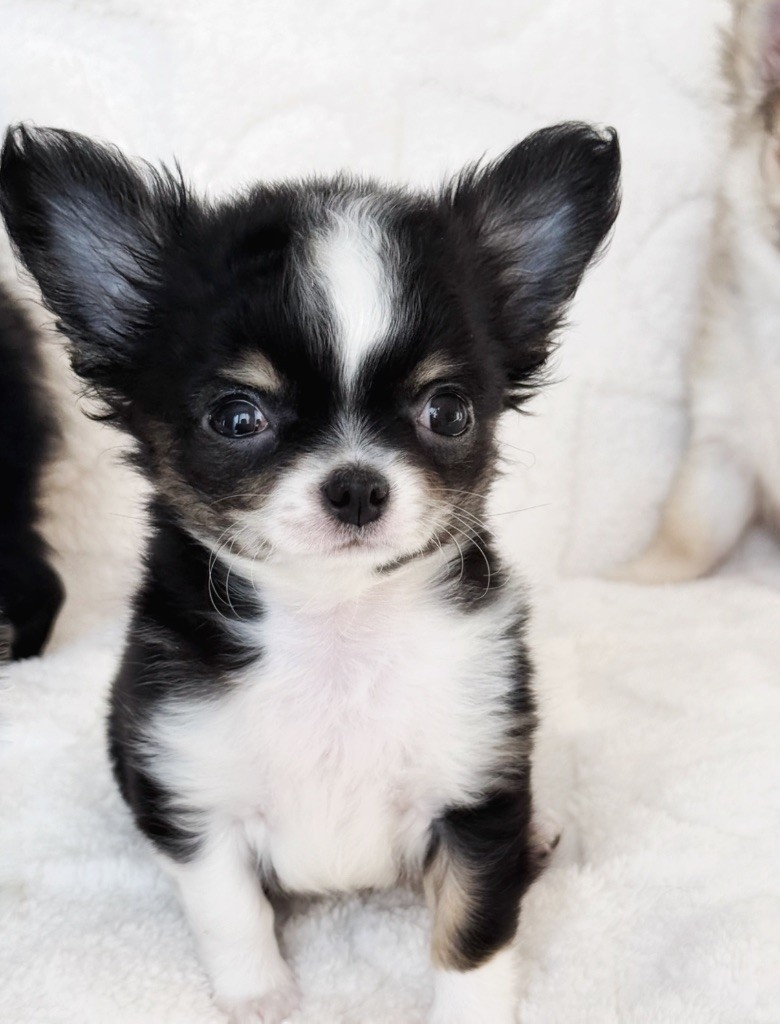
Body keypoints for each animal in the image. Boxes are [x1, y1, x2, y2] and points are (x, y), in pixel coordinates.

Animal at [0, 121, 618, 1024]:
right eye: (237, 417)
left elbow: (474, 930)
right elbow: (227, 910)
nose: (357, 483)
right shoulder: (196, 789)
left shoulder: (476, 789)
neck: (336, 630)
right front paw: (260, 996)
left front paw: (471, 1011)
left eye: (448, 411)